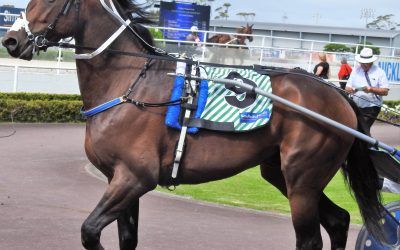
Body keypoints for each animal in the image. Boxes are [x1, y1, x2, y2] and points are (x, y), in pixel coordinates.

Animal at [1, 0, 386, 249]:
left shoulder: (134, 178)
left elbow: (89, 230)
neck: (129, 81)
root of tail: (337, 94)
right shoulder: (119, 179)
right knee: (338, 220)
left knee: (309, 240)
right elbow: (126, 238)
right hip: (281, 173)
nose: (12, 40)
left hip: (302, 179)